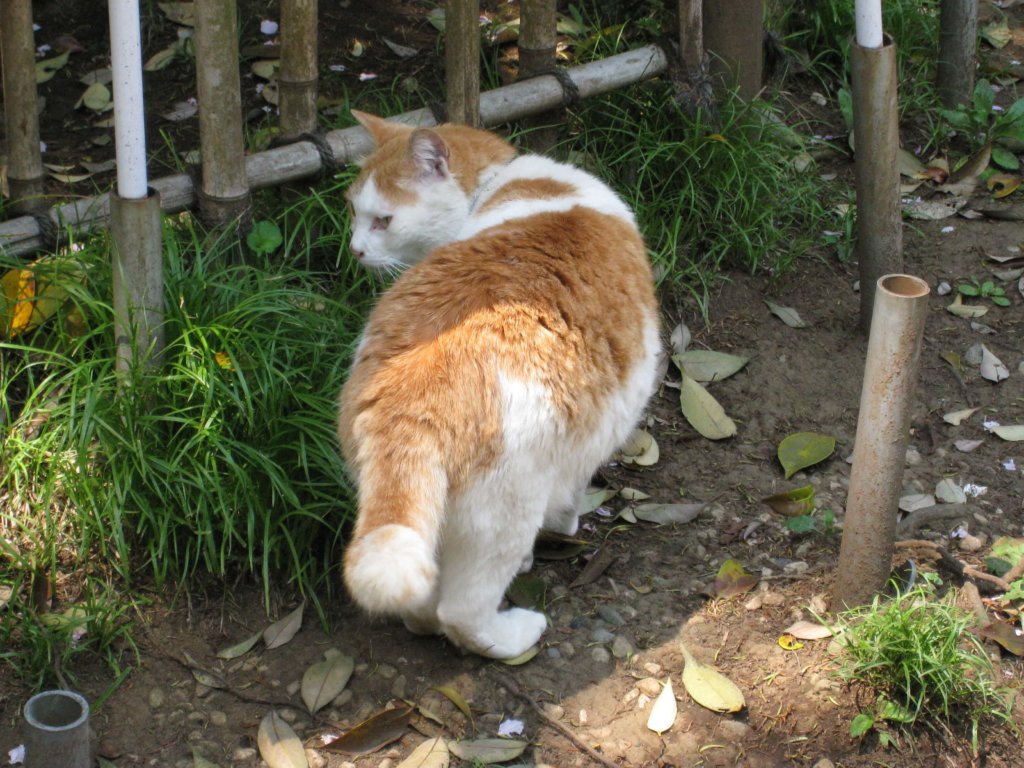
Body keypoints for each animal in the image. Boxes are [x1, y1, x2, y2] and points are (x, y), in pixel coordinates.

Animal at [339, 111, 659, 659]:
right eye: (355, 212)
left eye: (381, 219)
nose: (356, 249)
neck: (499, 181)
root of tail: (411, 399)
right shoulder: (595, 432)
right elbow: (573, 494)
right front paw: (565, 528)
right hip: (507, 509)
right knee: (462, 612)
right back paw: (515, 633)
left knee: (423, 600)